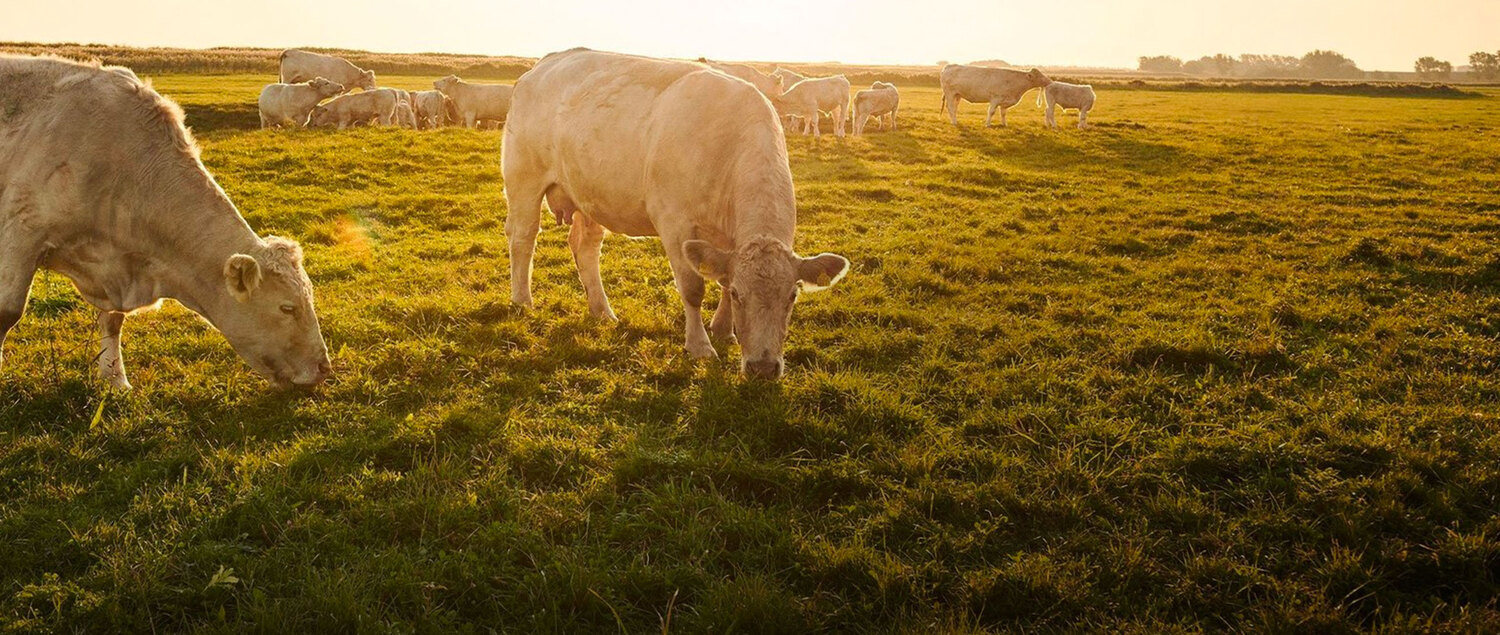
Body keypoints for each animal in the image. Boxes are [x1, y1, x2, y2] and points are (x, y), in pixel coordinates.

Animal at [0, 55, 330, 387]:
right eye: (287, 307)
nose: (323, 367)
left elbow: (113, 320)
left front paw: (116, 379)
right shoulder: (22, 232)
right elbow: (8, 310)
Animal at [504, 49, 852, 379]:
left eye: (792, 296)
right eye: (740, 294)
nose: (763, 368)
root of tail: (546, 63)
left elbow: (721, 277)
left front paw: (723, 330)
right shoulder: (675, 224)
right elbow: (693, 288)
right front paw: (700, 345)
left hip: (588, 191)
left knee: (585, 247)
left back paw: (602, 310)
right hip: (523, 180)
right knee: (523, 237)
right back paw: (523, 300)